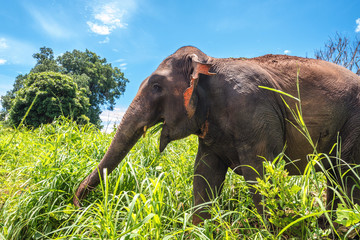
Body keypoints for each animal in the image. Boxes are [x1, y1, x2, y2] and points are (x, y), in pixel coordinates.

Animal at [74, 45, 360, 225]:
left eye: (156, 86)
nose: (79, 207)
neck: (210, 62)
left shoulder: (254, 112)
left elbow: (259, 174)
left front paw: (275, 230)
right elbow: (205, 175)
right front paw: (200, 229)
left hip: (354, 123)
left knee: (348, 176)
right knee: (335, 176)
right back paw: (326, 226)